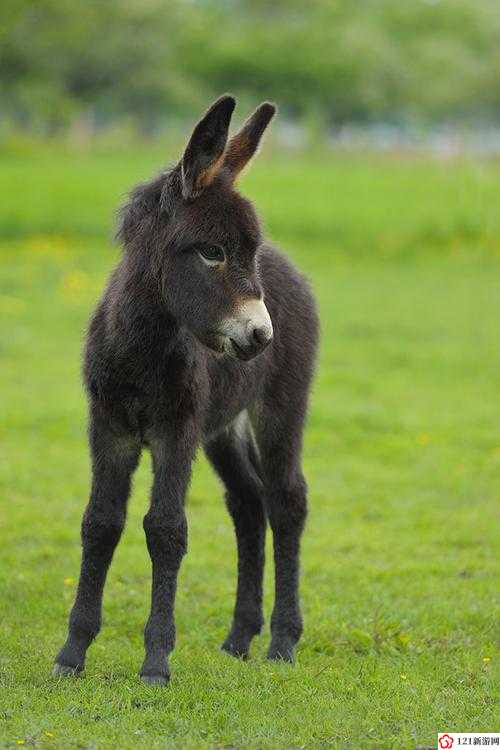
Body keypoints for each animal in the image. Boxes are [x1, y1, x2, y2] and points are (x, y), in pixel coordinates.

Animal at [54, 95, 318, 688]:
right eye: (212, 252)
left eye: (245, 253)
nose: (260, 336)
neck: (142, 347)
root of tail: (288, 262)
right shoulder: (110, 428)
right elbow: (99, 524)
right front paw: (72, 653)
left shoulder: (176, 431)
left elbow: (166, 529)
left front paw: (155, 663)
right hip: (221, 427)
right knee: (248, 502)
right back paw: (240, 638)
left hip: (279, 406)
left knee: (286, 500)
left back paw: (282, 643)